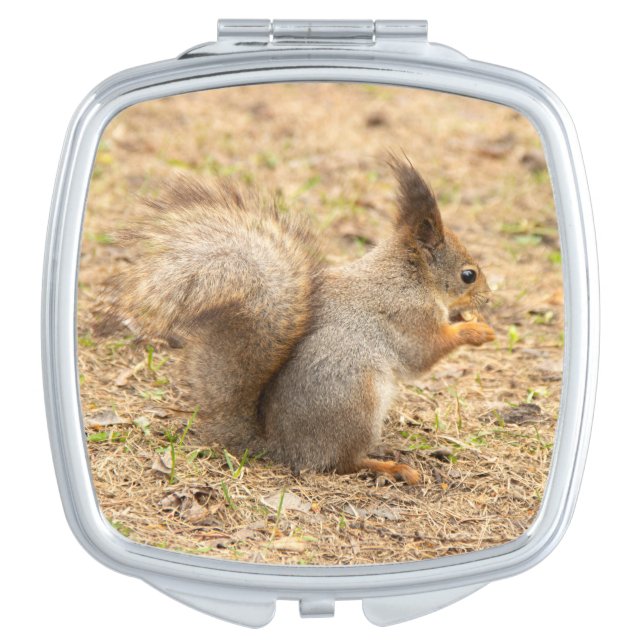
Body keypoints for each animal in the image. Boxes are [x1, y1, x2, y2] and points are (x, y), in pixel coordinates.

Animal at [106, 156, 495, 485]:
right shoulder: (408, 315)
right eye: (468, 275)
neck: (410, 275)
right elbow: (424, 353)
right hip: (356, 400)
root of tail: (282, 447)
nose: (488, 298)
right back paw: (389, 467)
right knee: (341, 462)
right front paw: (475, 330)